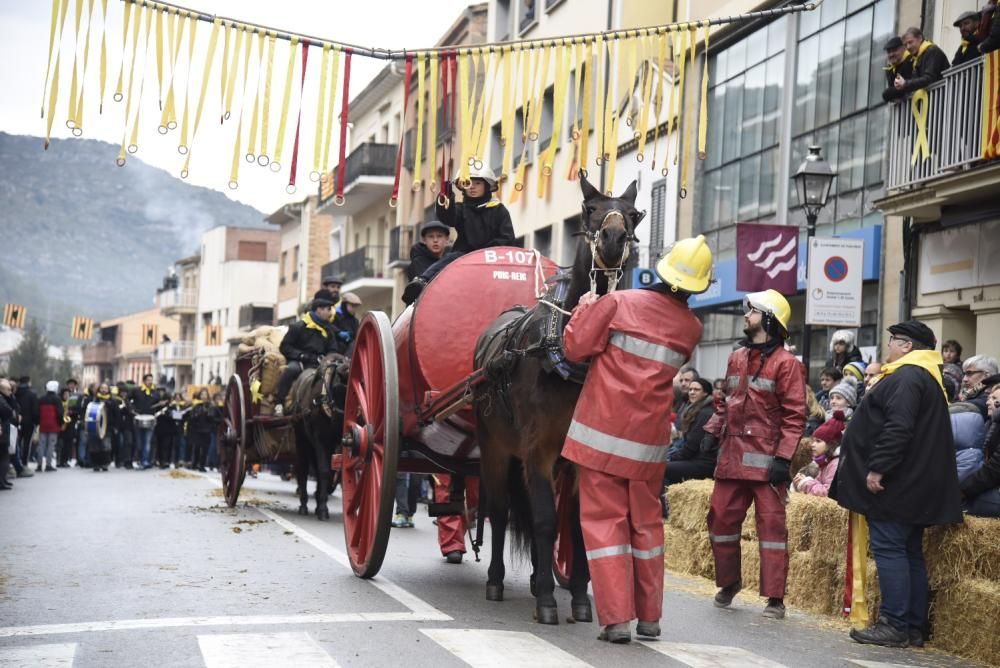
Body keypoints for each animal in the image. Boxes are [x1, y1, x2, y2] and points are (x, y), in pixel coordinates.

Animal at [288, 354, 350, 520]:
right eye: (338, 389)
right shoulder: (320, 440)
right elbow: (324, 471)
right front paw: (322, 508)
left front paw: (321, 500)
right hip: (301, 440)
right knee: (303, 468)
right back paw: (304, 504)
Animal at [474, 174, 640, 628]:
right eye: (589, 210)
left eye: (634, 214)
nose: (614, 238)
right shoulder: (538, 451)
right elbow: (546, 520)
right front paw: (548, 601)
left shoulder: (583, 458)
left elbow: (578, 526)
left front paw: (580, 598)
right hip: (495, 448)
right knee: (499, 512)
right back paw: (496, 581)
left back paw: (536, 578)